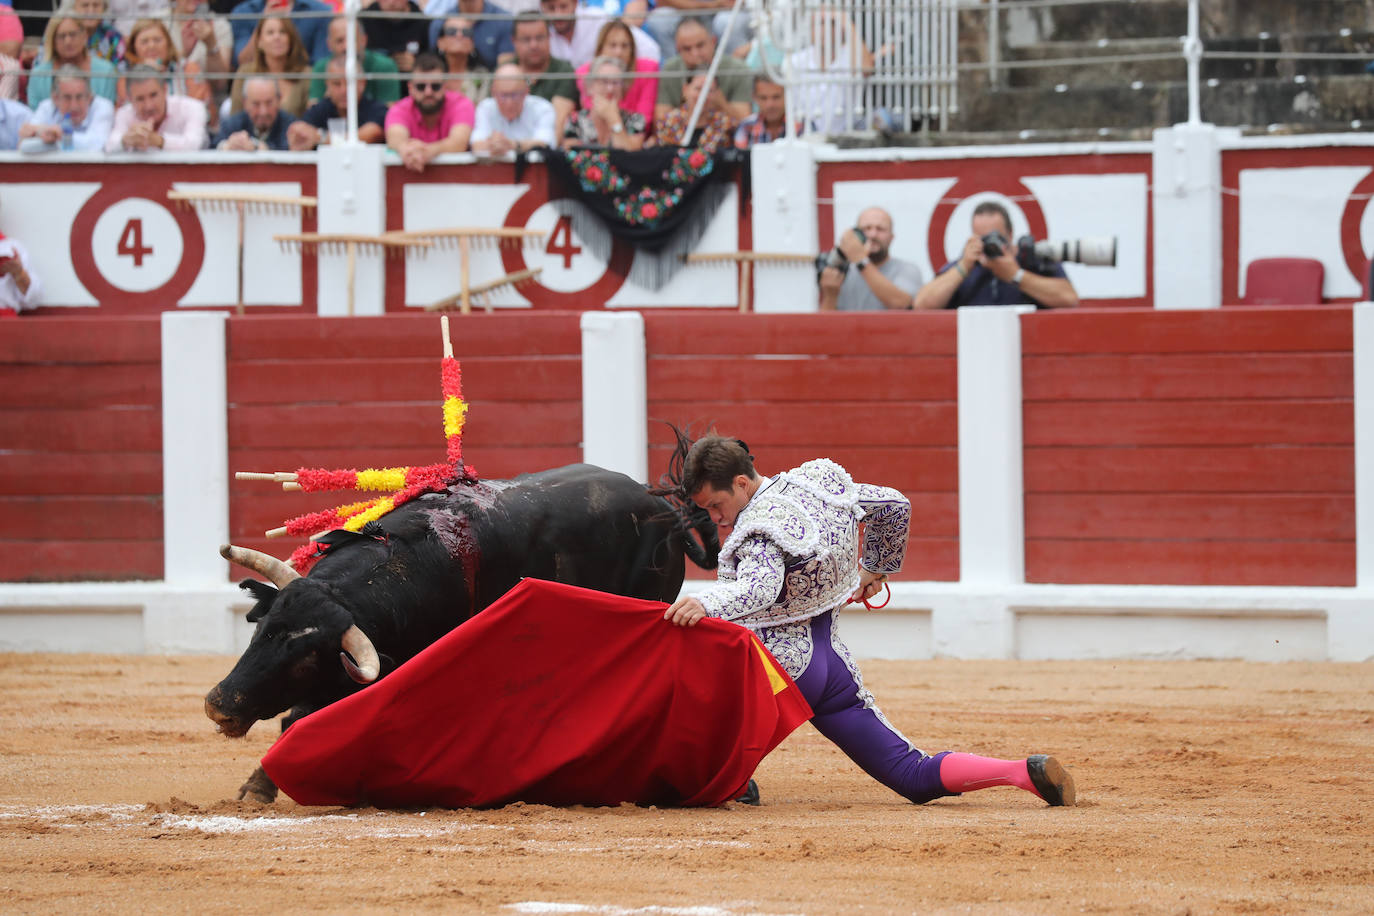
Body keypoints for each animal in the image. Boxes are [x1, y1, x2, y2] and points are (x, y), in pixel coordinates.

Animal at [208, 466, 719, 802]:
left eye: (308, 658)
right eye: (264, 631)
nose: (220, 704)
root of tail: (658, 503)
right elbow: (297, 719)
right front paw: (258, 786)